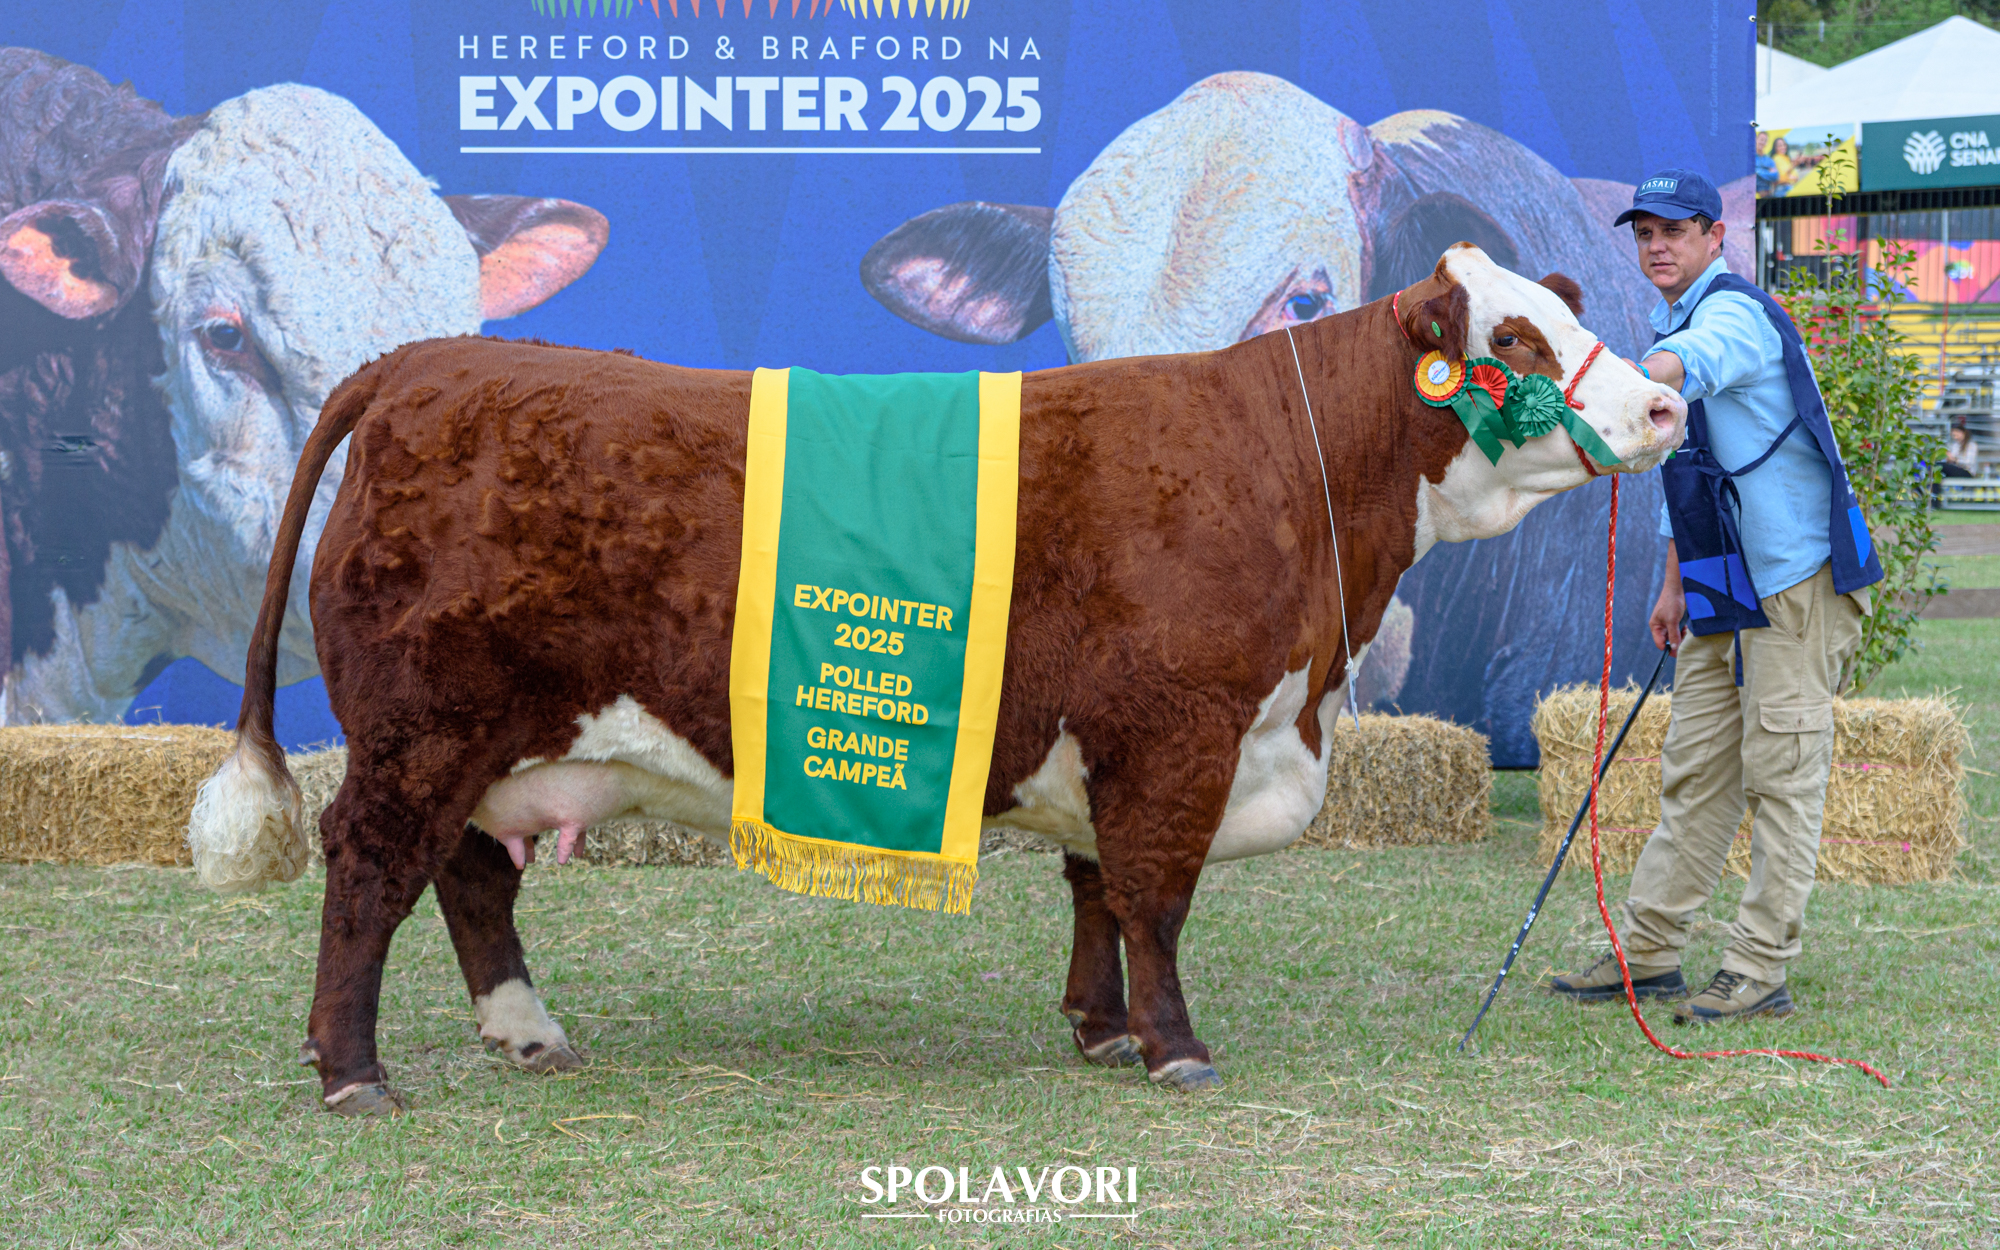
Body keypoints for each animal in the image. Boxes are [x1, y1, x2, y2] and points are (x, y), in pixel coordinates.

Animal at [189, 243, 1686, 1115]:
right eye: (1515, 342)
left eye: (1565, 315)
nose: (1667, 404)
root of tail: (418, 364)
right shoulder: (1178, 726)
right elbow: (1156, 892)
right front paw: (1176, 1046)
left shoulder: (1113, 735)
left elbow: (1097, 887)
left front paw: (1098, 1027)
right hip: (421, 724)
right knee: (371, 866)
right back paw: (353, 1069)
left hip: (484, 734)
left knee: (470, 876)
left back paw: (526, 1031)